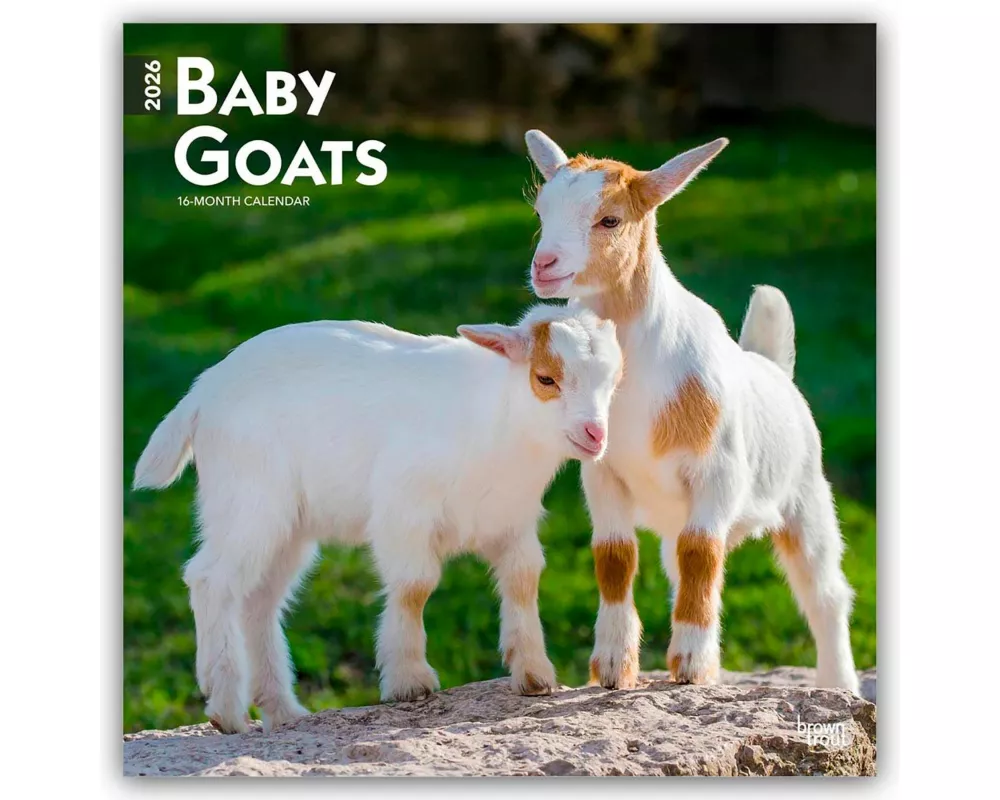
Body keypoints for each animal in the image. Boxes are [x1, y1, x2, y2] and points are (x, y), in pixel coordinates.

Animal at [133, 305, 624, 733]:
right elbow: (414, 587)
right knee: (210, 580)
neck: (498, 420)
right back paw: (227, 711)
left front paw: (535, 674)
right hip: (249, 501)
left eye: (613, 380)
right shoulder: (403, 509)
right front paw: (409, 681)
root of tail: (200, 395)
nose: (596, 435)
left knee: (259, 600)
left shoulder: (512, 521)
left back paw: (284, 712)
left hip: (289, 526)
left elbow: (523, 580)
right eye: (545, 378)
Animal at [523, 129, 860, 694]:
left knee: (824, 593)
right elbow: (615, 557)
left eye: (610, 219)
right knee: (681, 567)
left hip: (807, 497)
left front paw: (692, 667)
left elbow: (703, 552)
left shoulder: (718, 472)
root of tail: (771, 365)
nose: (543, 266)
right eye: (541, 209)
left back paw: (840, 686)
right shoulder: (602, 474)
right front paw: (613, 666)